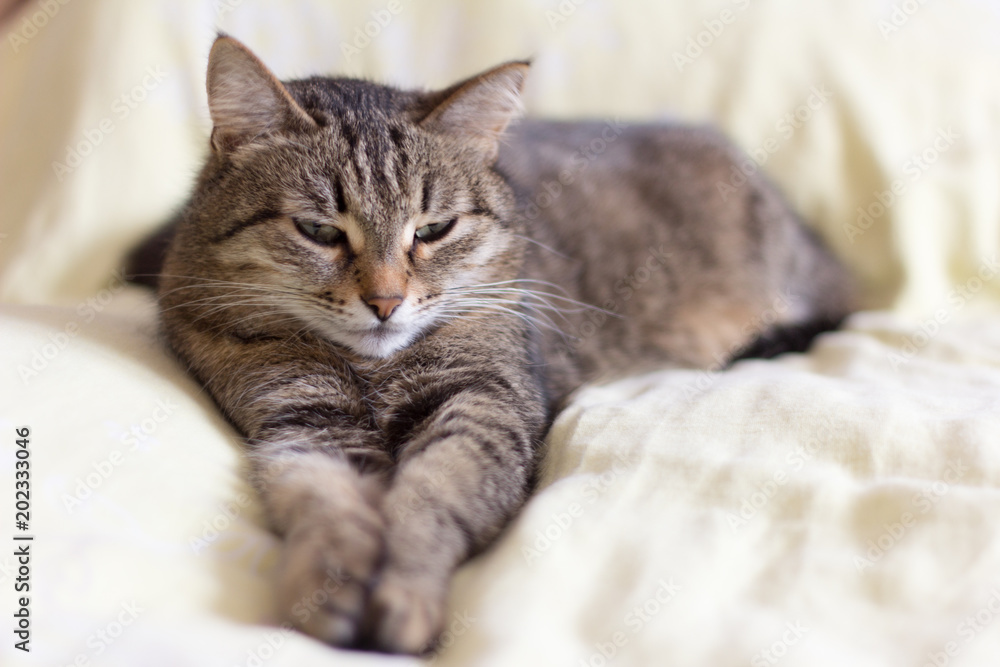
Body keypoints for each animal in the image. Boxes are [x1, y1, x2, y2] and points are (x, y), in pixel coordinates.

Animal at [127, 34, 852, 656]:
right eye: (319, 230)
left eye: (433, 229)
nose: (385, 301)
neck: (370, 368)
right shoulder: (302, 421)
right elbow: (322, 503)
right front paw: (329, 587)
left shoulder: (485, 402)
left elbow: (433, 496)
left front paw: (405, 592)